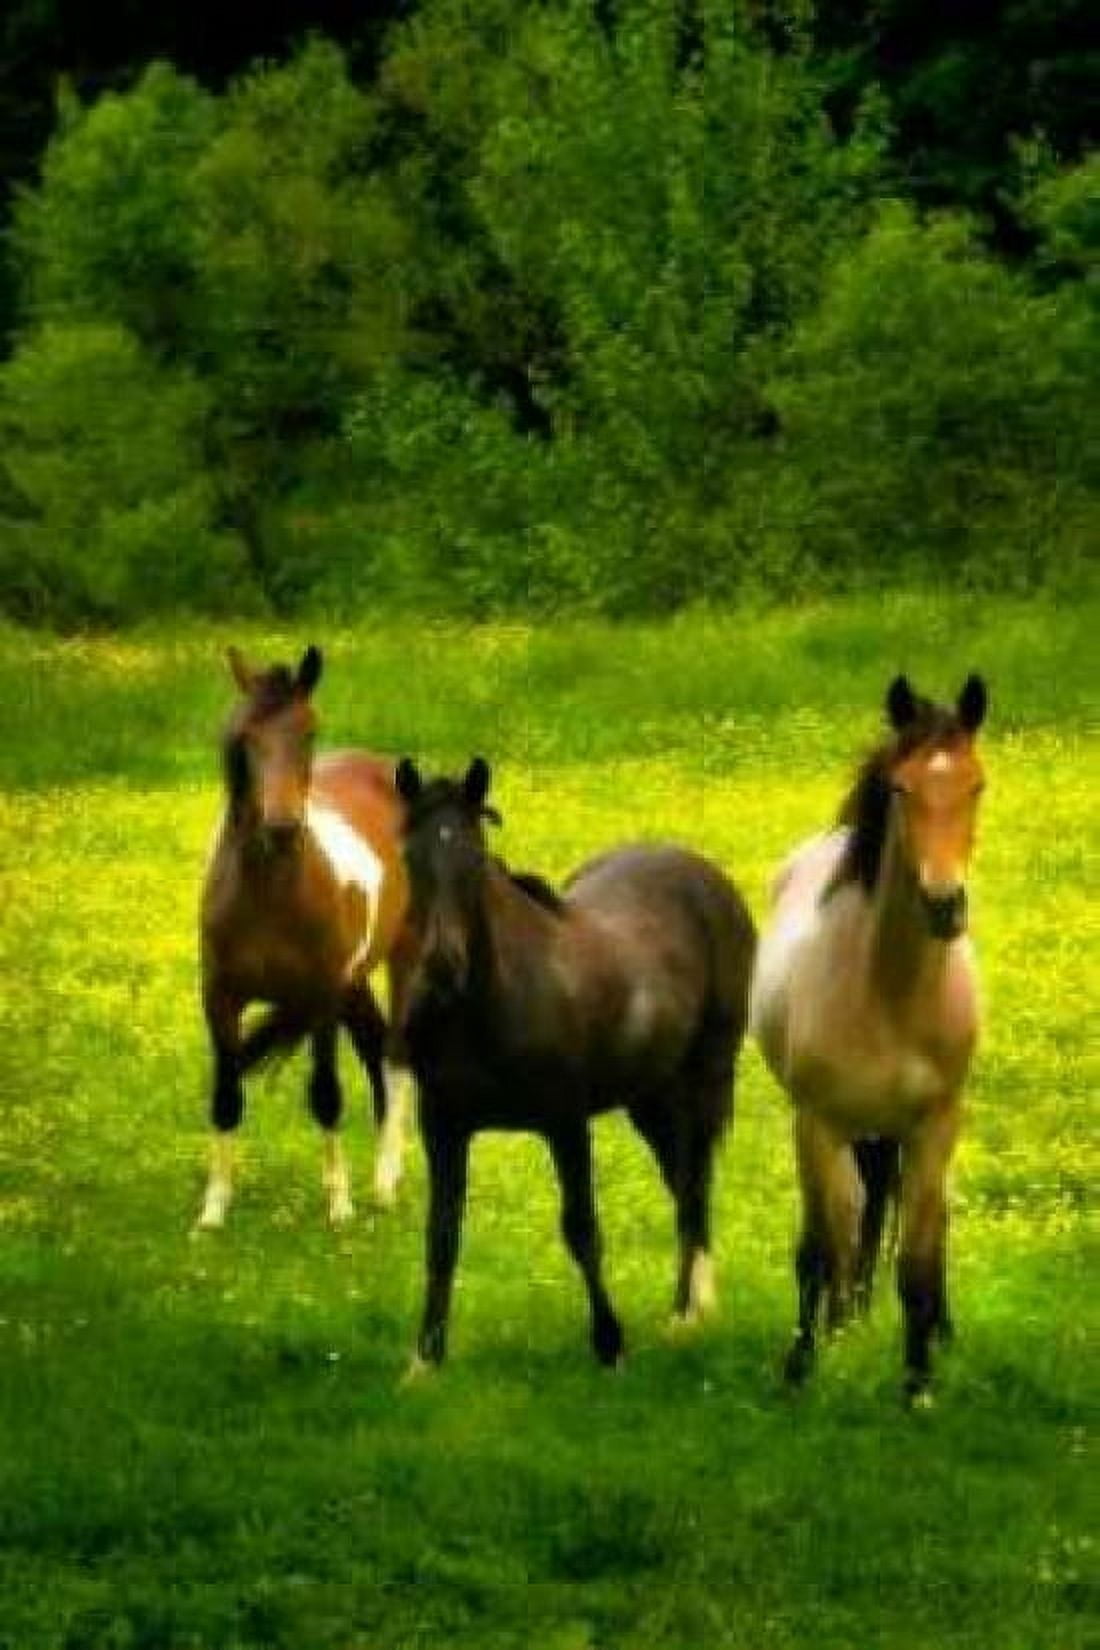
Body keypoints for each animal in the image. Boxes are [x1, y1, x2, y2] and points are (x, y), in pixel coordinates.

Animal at [197, 643, 413, 1229]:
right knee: (376, 1046)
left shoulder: (319, 1001)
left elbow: (326, 1094)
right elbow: (226, 1097)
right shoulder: (220, 1000)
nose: (282, 828)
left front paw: (339, 1205)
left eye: (309, 732)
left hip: (402, 958)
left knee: (397, 1057)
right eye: (246, 737)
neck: (267, 897)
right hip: (355, 981)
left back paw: (385, 1181)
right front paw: (213, 1210)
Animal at [391, 756, 756, 1372]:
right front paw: (425, 1362)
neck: (491, 1003)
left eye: (475, 858)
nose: (442, 967)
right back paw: (689, 1309)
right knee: (684, 1182)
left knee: (694, 1187)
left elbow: (582, 1230)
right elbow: (440, 1237)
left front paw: (610, 1343)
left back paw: (688, 1314)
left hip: (705, 1076)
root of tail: (709, 879)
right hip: (650, 1097)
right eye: (410, 857)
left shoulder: (565, 1124)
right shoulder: (443, 1126)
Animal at [750, 673, 988, 1404]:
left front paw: (917, 1384)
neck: (890, 993)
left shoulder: (935, 1125)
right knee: (847, 1221)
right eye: (902, 789)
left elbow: (917, 1258)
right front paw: (801, 1366)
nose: (944, 905)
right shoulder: (816, 1123)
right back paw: (839, 1324)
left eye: (977, 785)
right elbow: (819, 1246)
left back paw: (936, 1332)